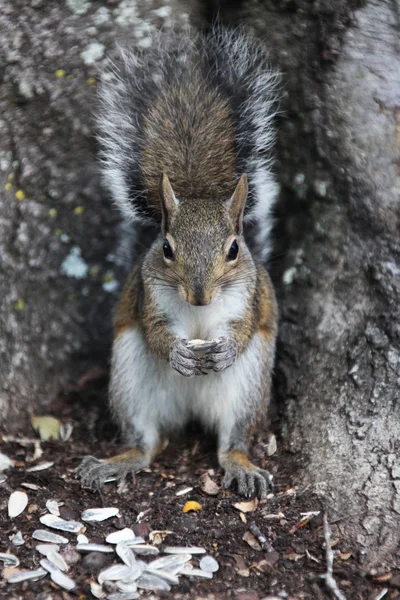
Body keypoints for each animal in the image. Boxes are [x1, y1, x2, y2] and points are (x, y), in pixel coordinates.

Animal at [76, 27, 280, 496]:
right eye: (167, 249)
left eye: (234, 249)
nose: (201, 297)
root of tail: (191, 411)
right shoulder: (147, 297)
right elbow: (155, 332)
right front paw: (178, 353)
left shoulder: (250, 297)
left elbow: (243, 329)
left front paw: (226, 348)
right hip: (131, 380)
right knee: (145, 441)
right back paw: (118, 461)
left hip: (249, 386)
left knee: (232, 441)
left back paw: (241, 465)